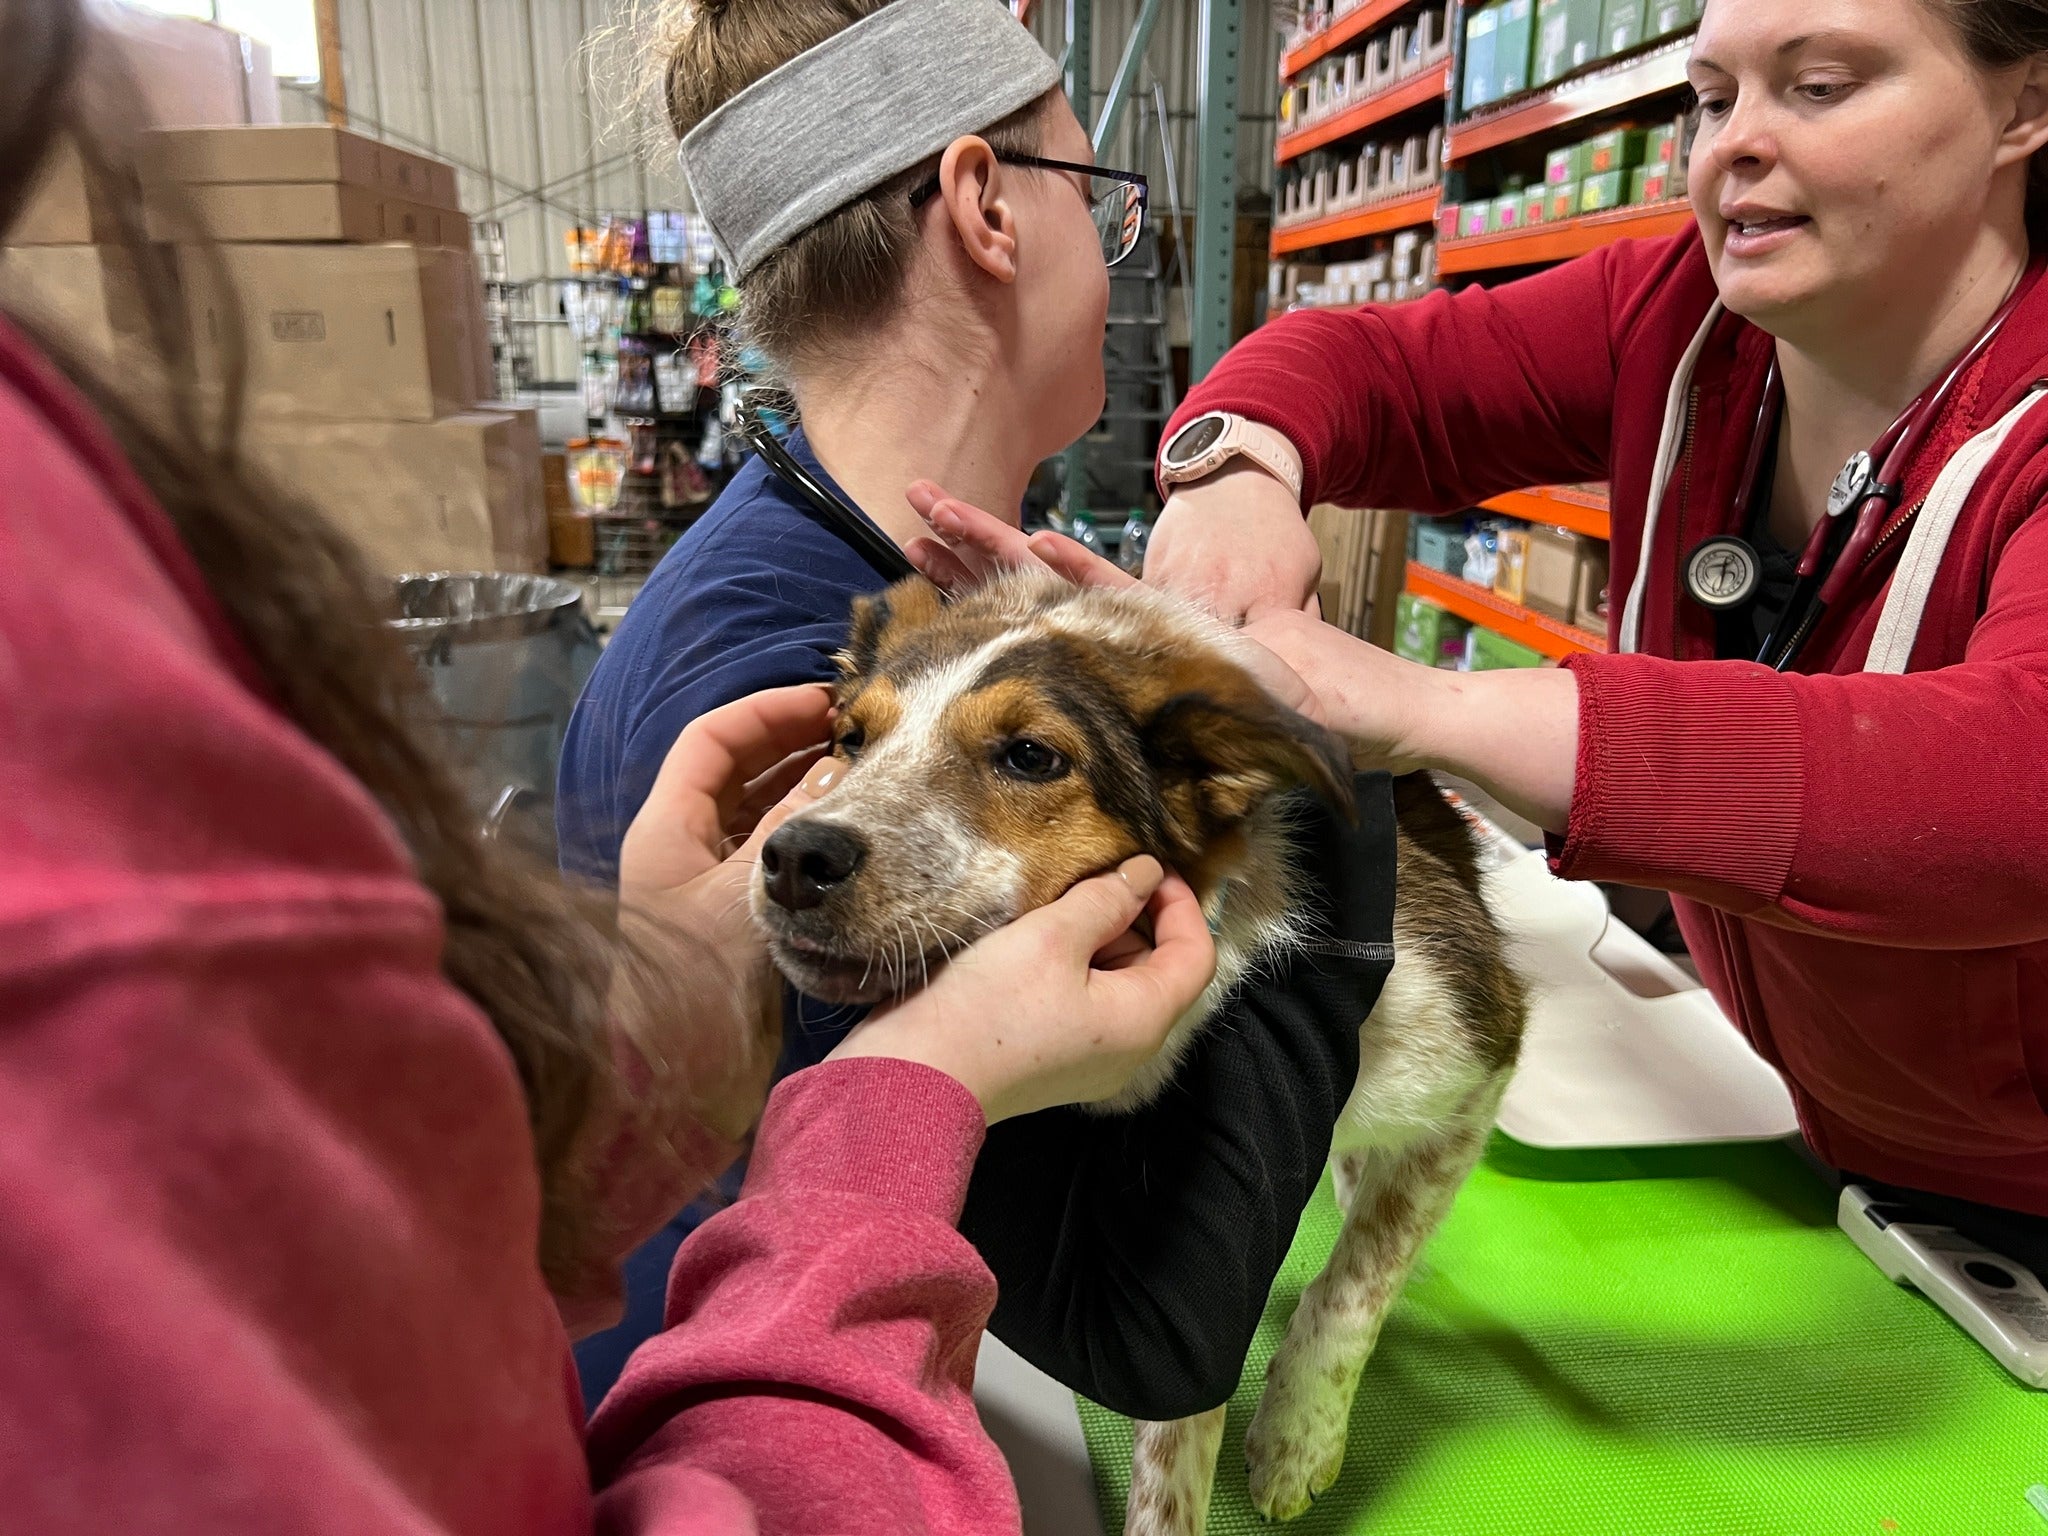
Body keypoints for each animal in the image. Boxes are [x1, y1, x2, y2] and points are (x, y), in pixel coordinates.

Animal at [753, 573, 1523, 1531]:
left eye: (1031, 757)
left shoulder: (1475, 1062)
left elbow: (1358, 1280)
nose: (792, 857)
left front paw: (1298, 1434)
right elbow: (1177, 1431)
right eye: (852, 740)